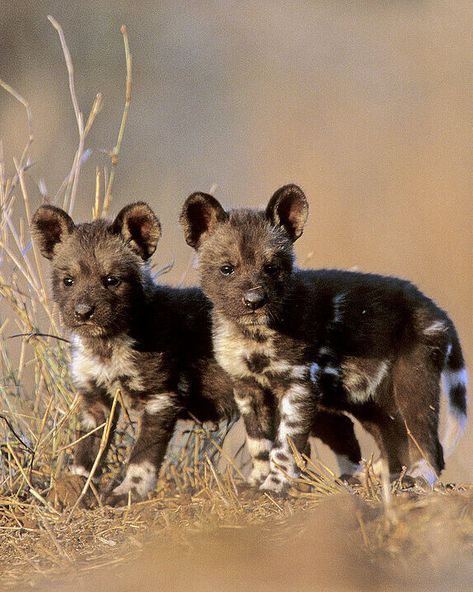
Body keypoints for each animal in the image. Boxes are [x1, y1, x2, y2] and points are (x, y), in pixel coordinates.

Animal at [31, 200, 360, 500]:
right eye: (68, 281)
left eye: (111, 280)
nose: (83, 312)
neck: (106, 347)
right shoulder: (95, 402)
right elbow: (85, 454)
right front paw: (75, 488)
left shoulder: (161, 399)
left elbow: (142, 456)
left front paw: (129, 492)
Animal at [181, 185, 468, 494]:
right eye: (227, 269)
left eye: (271, 268)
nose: (254, 300)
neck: (253, 335)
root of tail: (436, 310)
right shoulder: (248, 388)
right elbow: (259, 444)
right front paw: (256, 483)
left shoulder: (299, 387)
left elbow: (285, 448)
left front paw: (275, 486)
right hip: (372, 401)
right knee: (394, 441)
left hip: (412, 385)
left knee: (428, 444)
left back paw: (418, 479)